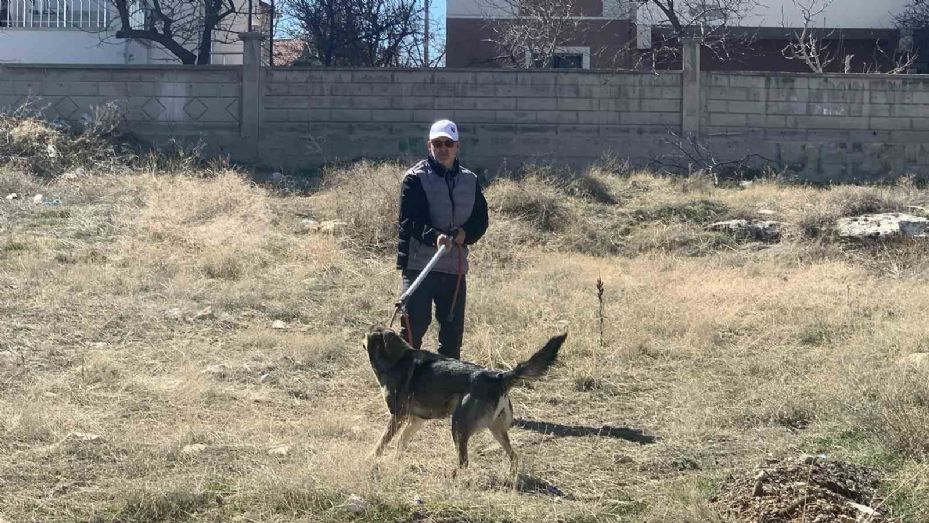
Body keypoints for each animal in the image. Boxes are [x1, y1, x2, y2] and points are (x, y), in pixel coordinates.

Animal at [362, 328, 564, 470]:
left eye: (368, 332)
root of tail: (498, 376)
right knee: (513, 456)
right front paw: (396, 461)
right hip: (496, 429)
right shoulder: (416, 420)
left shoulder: (397, 416)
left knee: (464, 462)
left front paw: (370, 458)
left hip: (458, 426)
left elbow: (381, 443)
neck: (397, 358)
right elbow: (401, 442)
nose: (361, 337)